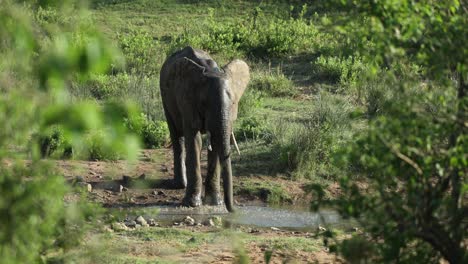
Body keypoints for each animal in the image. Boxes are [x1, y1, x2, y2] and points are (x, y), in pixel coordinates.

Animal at [160, 46, 250, 212]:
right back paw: (180, 185)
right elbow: (195, 140)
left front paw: (215, 203)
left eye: (234, 103)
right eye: (203, 103)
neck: (211, 70)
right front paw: (192, 204)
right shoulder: (187, 101)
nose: (233, 210)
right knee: (177, 135)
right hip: (165, 97)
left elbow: (215, 142)